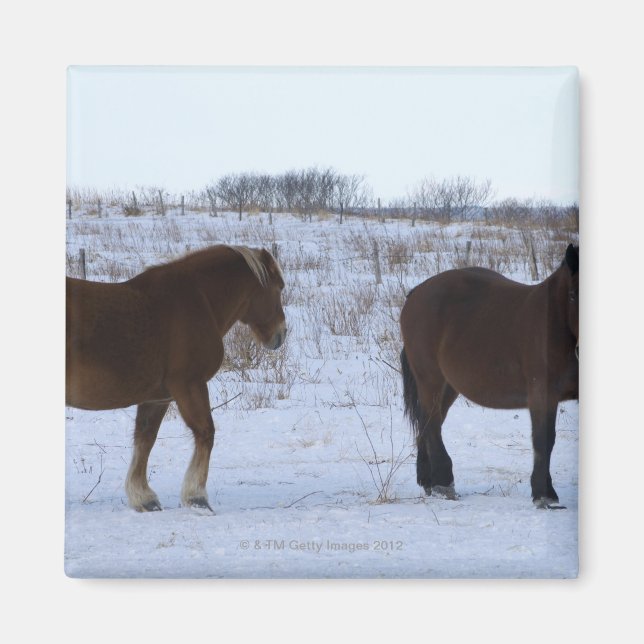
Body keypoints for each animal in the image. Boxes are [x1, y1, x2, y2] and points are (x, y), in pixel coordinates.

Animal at [66, 245, 286, 512]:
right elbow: (205, 433)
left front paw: (143, 497)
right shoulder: (189, 386)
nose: (281, 333)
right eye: (279, 287)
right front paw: (196, 496)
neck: (198, 299)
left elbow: (145, 440)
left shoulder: (157, 398)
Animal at [400, 244, 578, 509]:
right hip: (430, 378)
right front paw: (544, 494)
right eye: (573, 295)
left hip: (449, 385)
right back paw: (443, 482)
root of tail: (416, 293)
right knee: (431, 423)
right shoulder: (542, 393)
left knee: (430, 421)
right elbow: (543, 440)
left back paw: (428, 481)